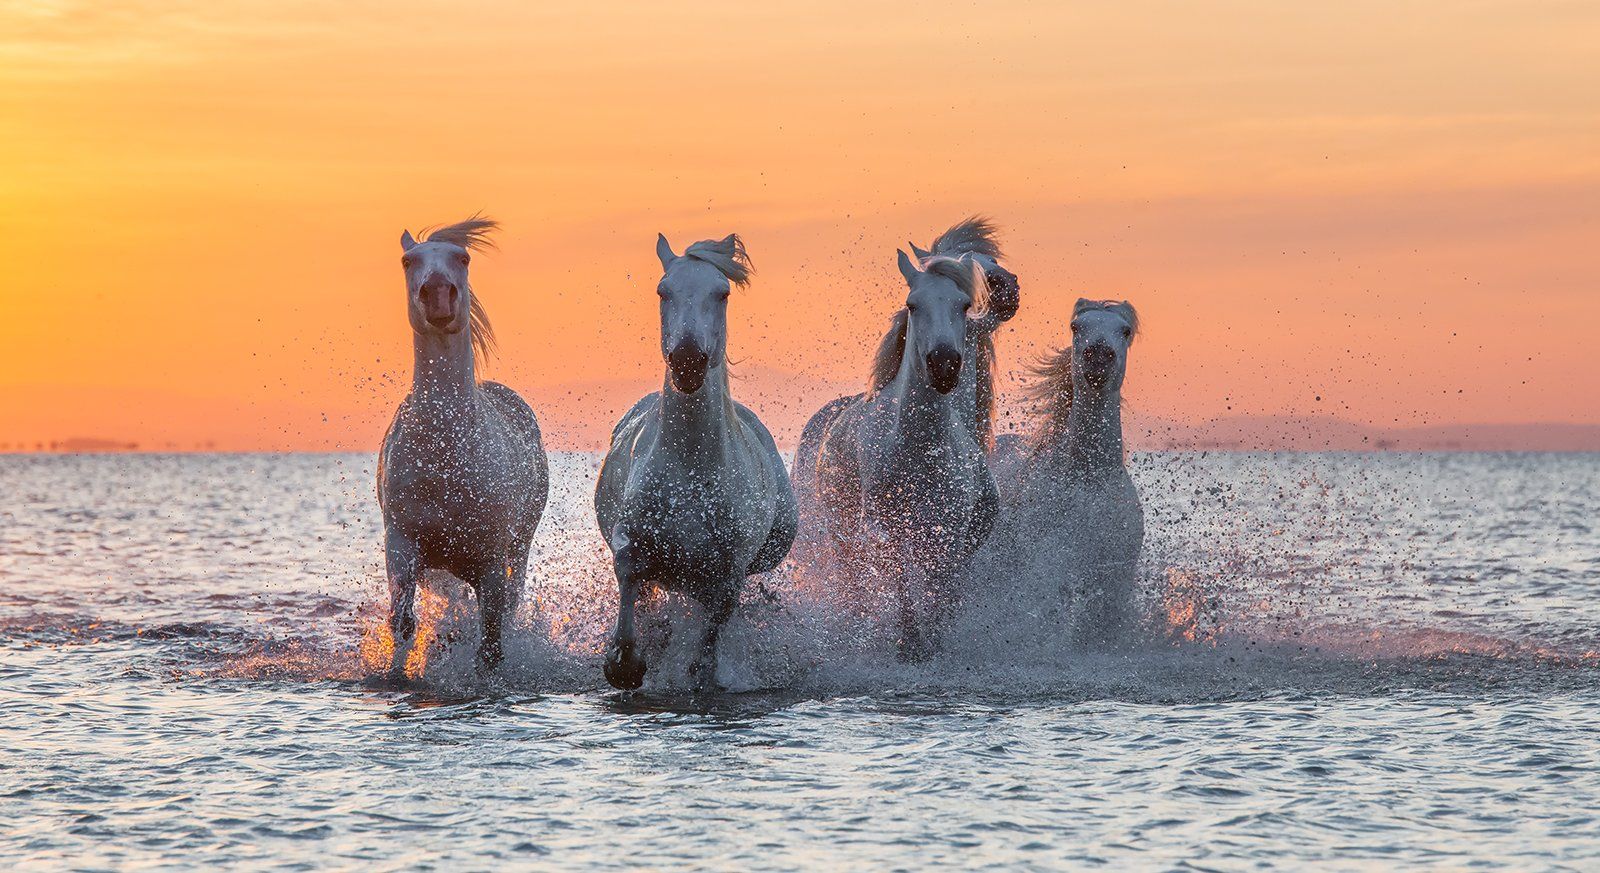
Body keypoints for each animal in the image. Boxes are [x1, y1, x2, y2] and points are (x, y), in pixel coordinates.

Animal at [374, 215, 550, 671]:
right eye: (408, 260)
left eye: (464, 258)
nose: (438, 296)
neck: (445, 450)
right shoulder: (401, 546)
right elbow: (403, 623)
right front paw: (397, 676)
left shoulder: (490, 559)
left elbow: (491, 641)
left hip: (519, 547)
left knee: (511, 604)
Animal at [592, 230, 796, 687]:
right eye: (662, 291)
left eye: (722, 293)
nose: (688, 362)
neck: (690, 466)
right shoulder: (633, 541)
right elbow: (628, 574)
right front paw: (625, 663)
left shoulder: (729, 572)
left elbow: (712, 632)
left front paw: (699, 671)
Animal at [793, 219, 1017, 658]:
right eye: (913, 304)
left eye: (963, 304)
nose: (944, 364)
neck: (918, 446)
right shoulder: (885, 532)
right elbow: (902, 586)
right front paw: (909, 642)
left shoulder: (951, 537)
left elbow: (942, 593)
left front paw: (933, 640)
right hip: (841, 539)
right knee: (855, 589)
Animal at [992, 295, 1145, 642]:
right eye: (1076, 327)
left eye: (1125, 330)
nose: (1099, 355)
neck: (1089, 481)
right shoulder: (1052, 570)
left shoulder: (1113, 581)